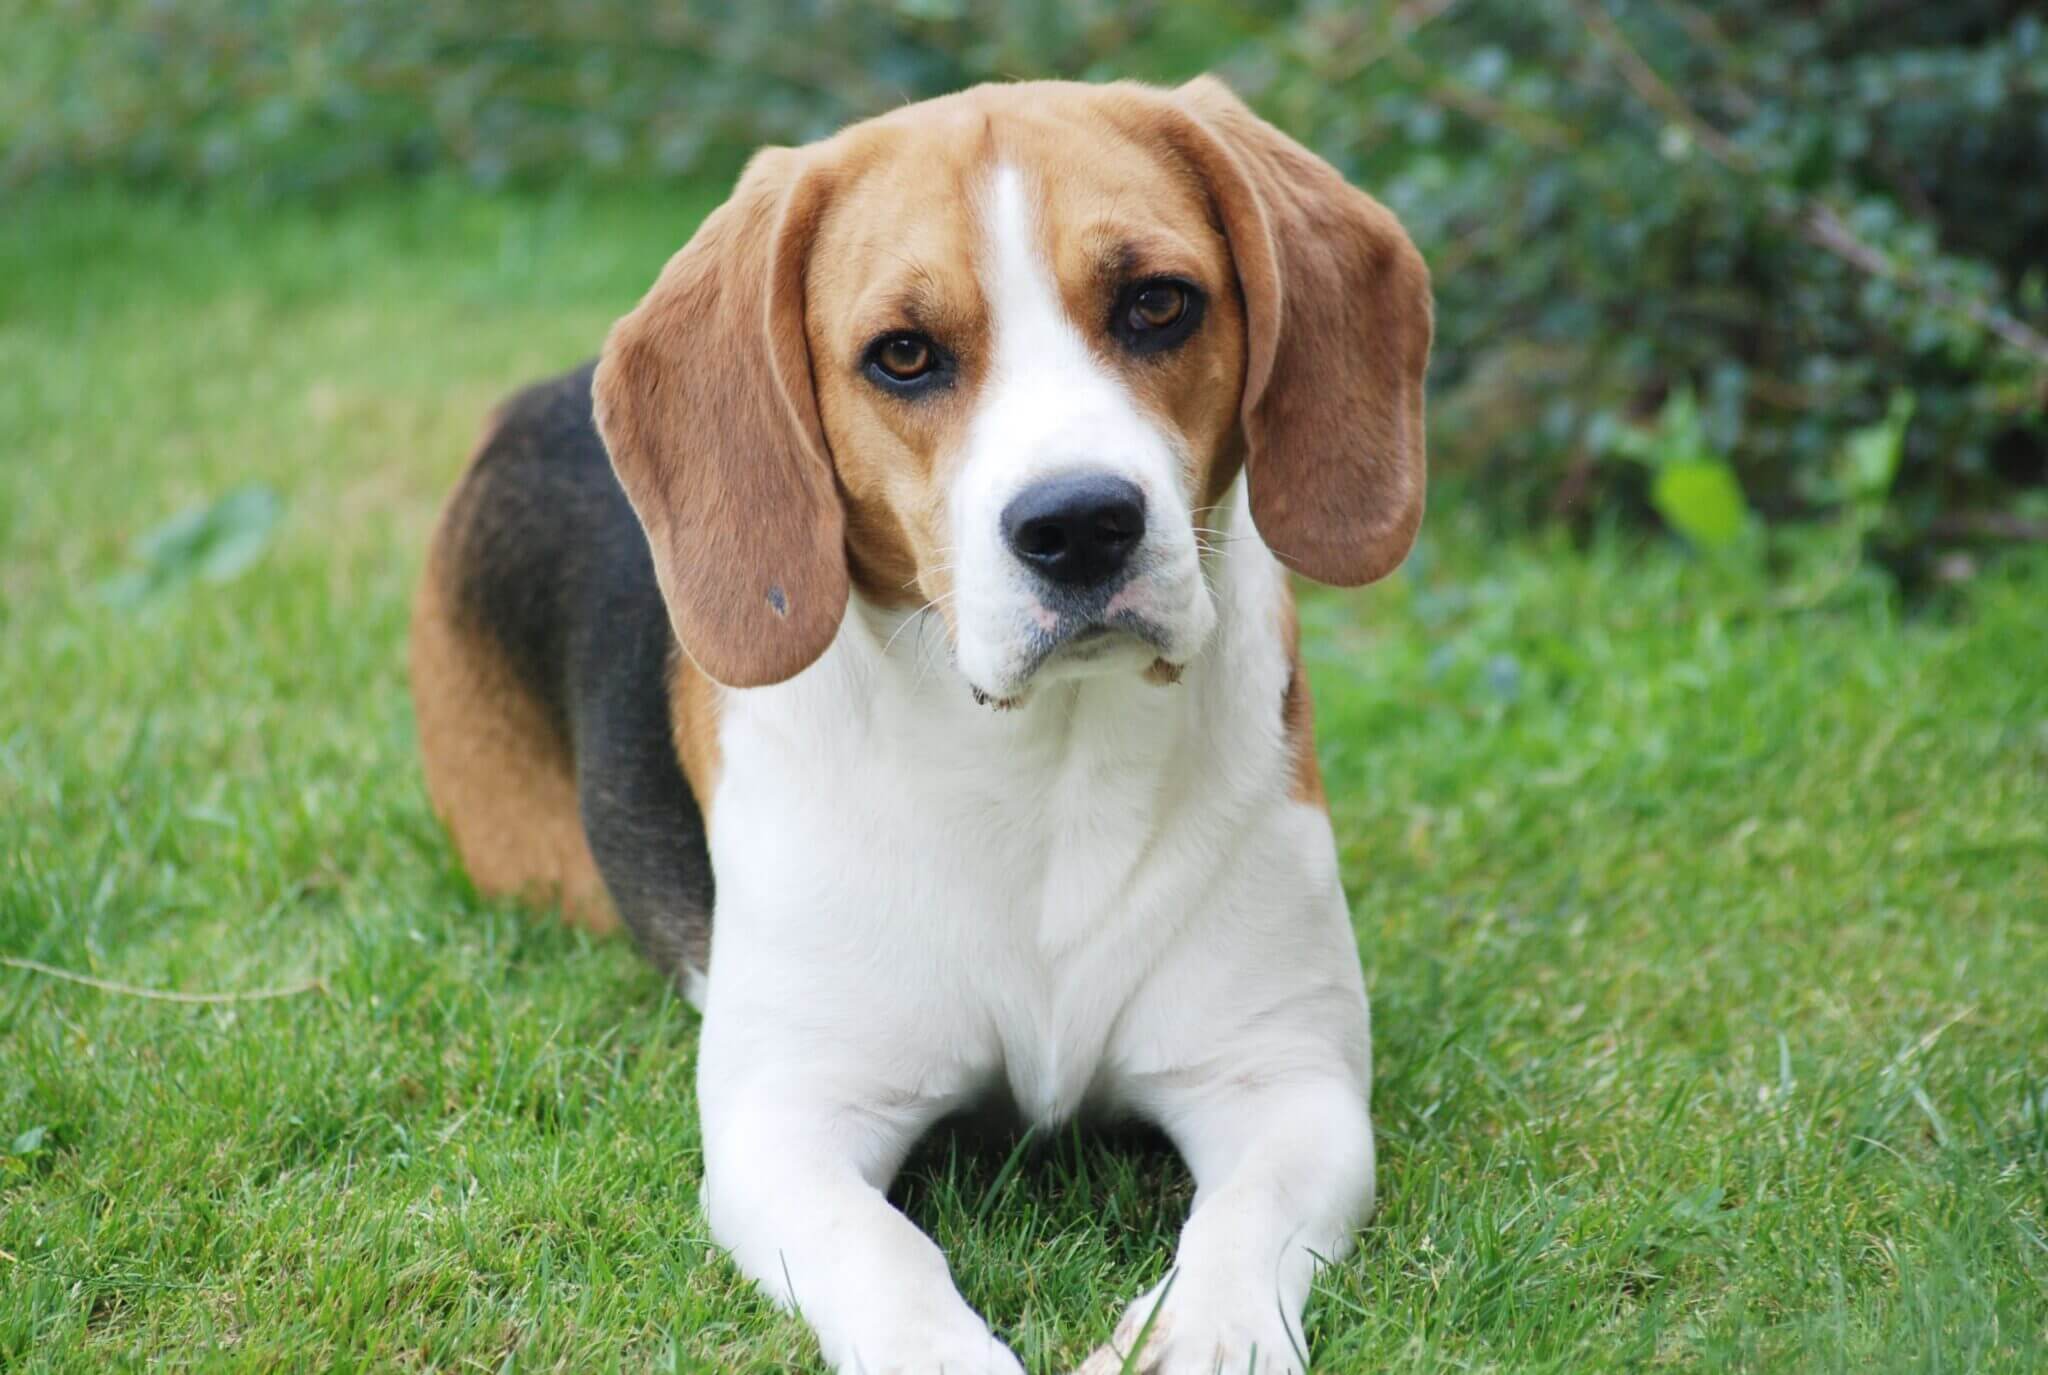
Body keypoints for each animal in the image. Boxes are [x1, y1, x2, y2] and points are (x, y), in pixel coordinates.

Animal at [409, 77, 1433, 1375]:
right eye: (902, 354)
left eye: (1157, 303)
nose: (1080, 523)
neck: (1044, 767)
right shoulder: (788, 1119)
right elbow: (886, 1256)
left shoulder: (1286, 1081)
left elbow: (1240, 1224)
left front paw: (1201, 1335)